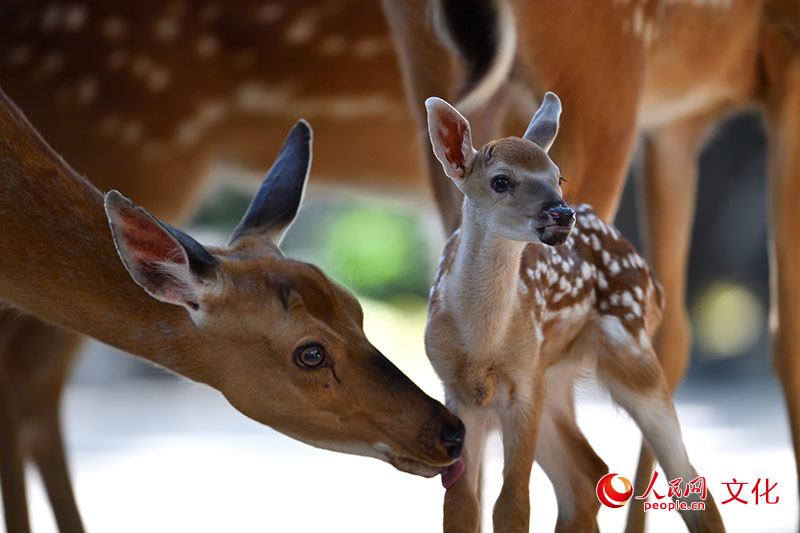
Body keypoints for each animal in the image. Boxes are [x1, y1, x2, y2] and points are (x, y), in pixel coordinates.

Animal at [382, 0, 800, 528]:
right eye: (501, 181)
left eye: (557, 175)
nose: (562, 212)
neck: (483, 344)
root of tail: (649, 279)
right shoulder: (459, 392)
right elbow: (461, 507)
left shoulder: (525, 384)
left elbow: (512, 505)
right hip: (560, 376)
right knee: (588, 473)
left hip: (628, 354)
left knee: (687, 478)